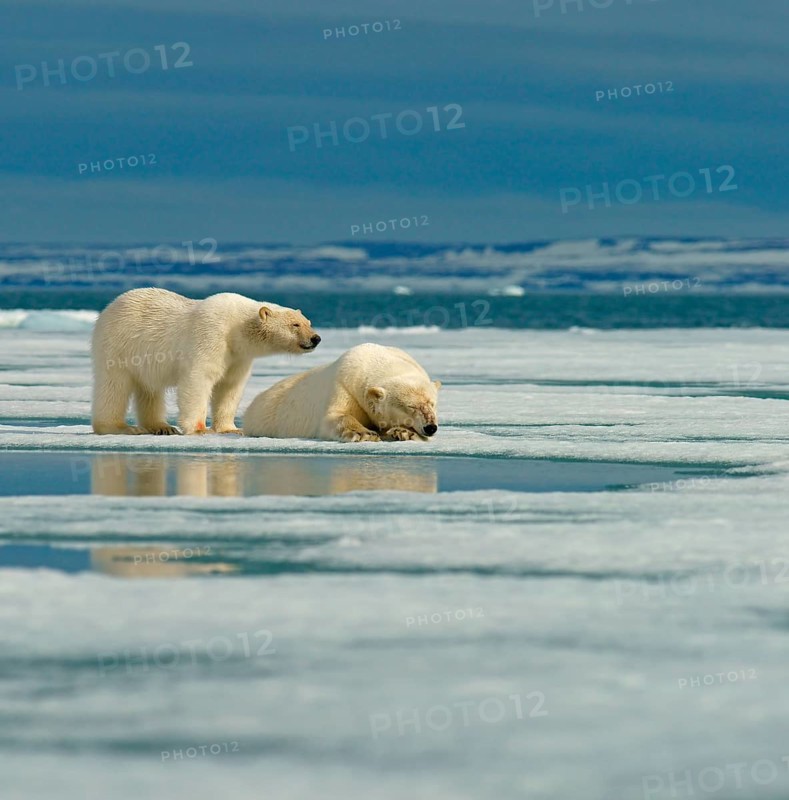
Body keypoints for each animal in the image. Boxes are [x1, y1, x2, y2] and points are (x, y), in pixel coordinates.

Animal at [91, 287, 321, 435]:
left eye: (308, 322)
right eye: (295, 324)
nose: (316, 338)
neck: (235, 327)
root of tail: (109, 306)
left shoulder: (238, 356)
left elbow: (229, 387)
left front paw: (231, 428)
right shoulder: (210, 335)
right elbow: (199, 379)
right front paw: (199, 429)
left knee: (149, 390)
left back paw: (162, 427)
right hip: (118, 345)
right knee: (114, 387)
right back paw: (121, 427)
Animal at [243, 343, 441, 442]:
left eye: (432, 403)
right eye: (411, 406)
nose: (430, 427)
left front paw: (404, 432)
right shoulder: (345, 384)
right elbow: (336, 416)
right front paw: (365, 434)